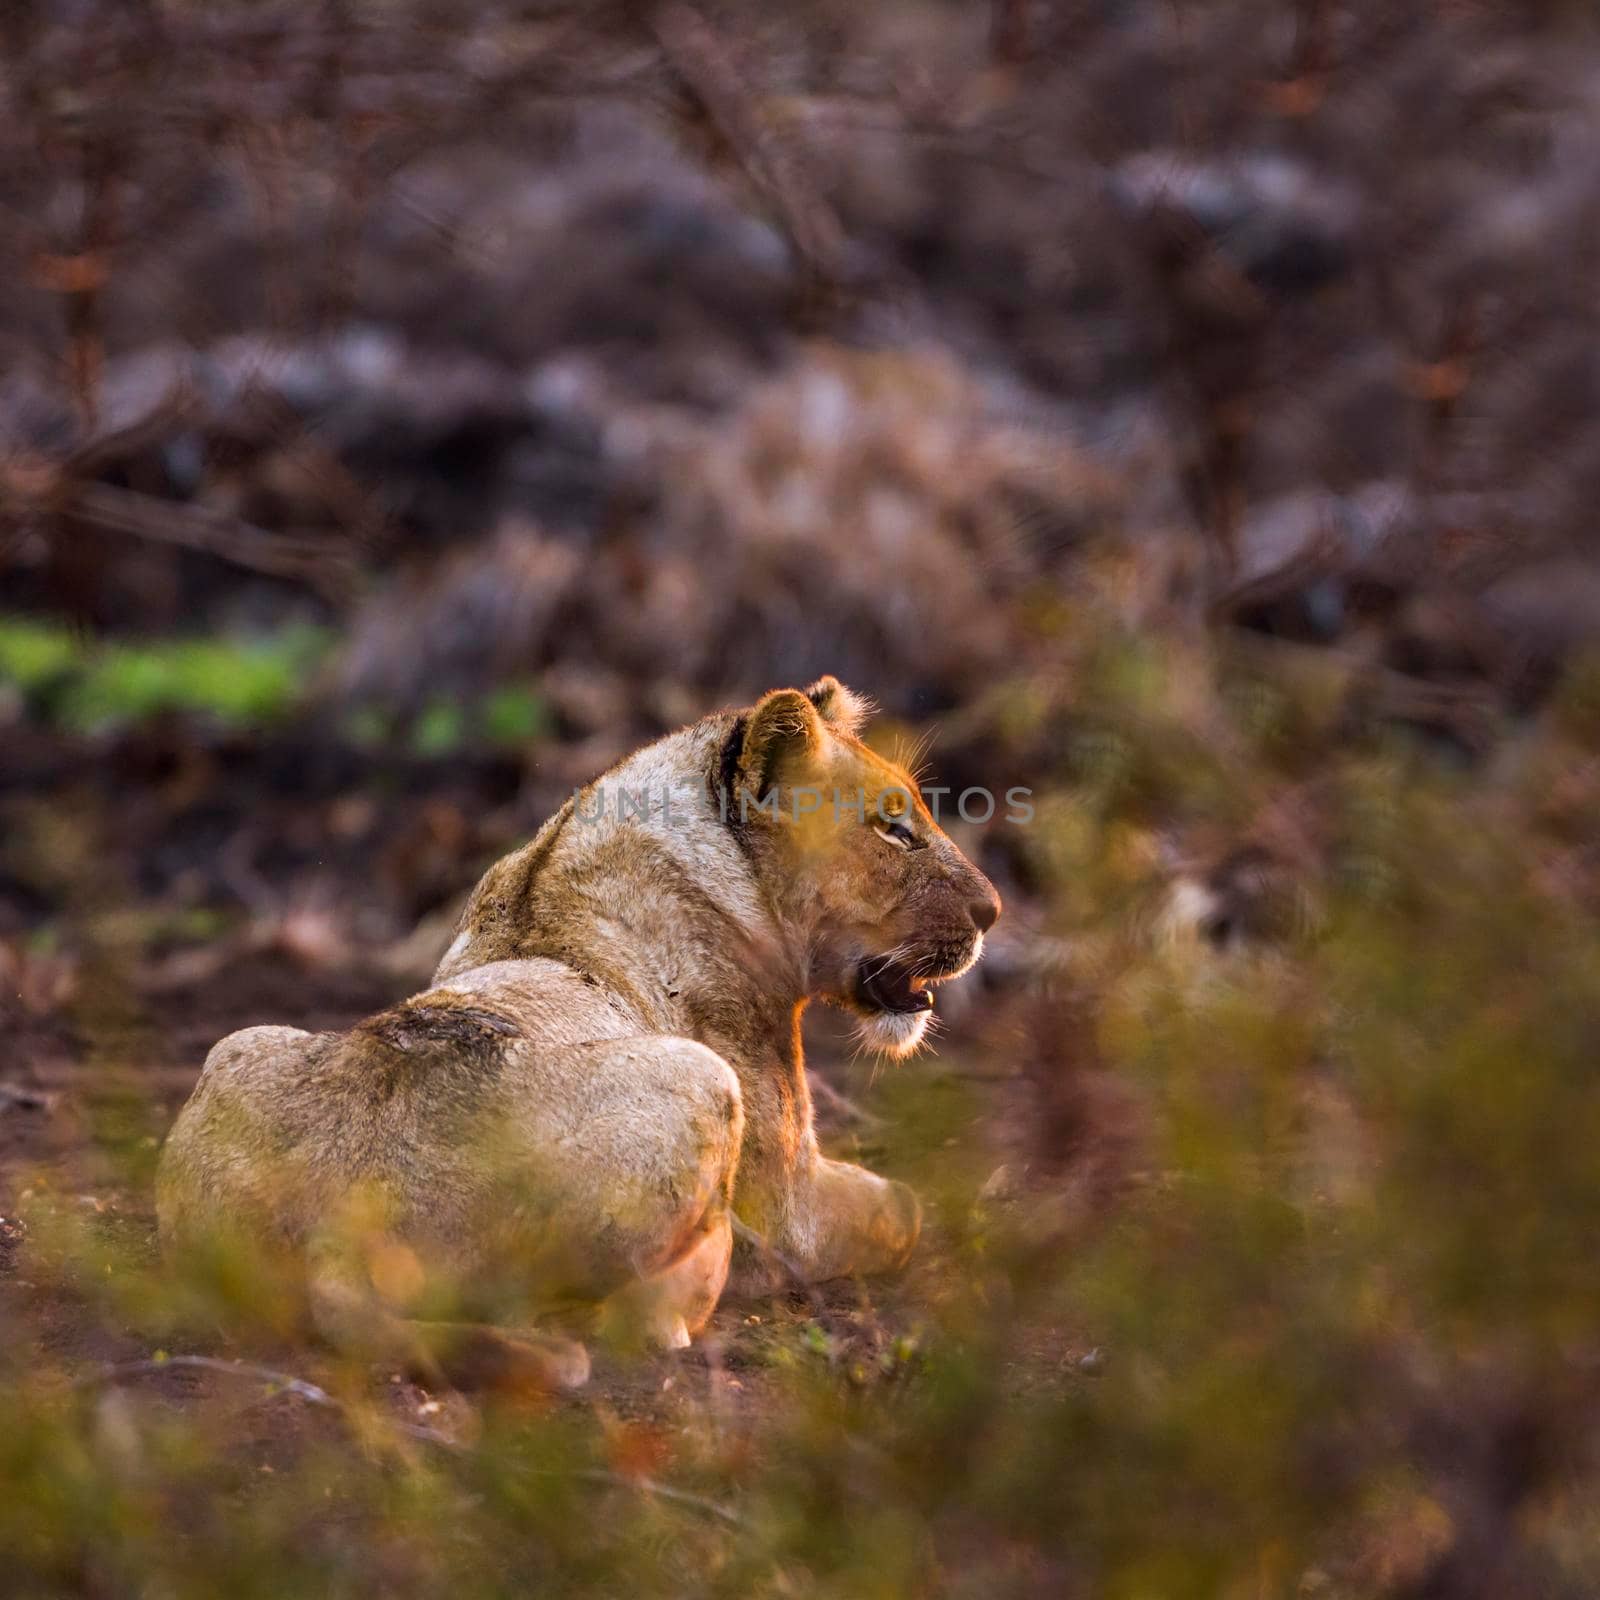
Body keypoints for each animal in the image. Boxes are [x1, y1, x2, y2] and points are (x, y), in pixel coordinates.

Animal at [156, 675, 992, 1388]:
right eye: (894, 829)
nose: (993, 912)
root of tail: (339, 1229)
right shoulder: (791, 1211)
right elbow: (903, 1212)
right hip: (704, 1081)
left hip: (238, 1044)